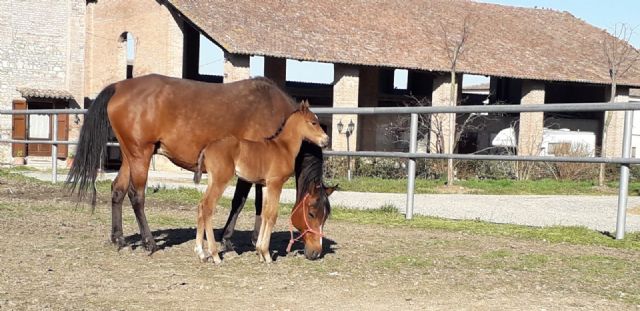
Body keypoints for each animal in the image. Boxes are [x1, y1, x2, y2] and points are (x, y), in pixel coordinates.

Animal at [67, 75, 328, 264]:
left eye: (326, 215)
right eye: (311, 213)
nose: (315, 252)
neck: (273, 110)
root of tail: (119, 86)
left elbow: (256, 204)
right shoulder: (251, 169)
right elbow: (242, 202)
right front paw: (232, 241)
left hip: (129, 156)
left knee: (117, 190)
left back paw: (119, 238)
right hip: (141, 155)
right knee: (136, 195)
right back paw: (150, 242)